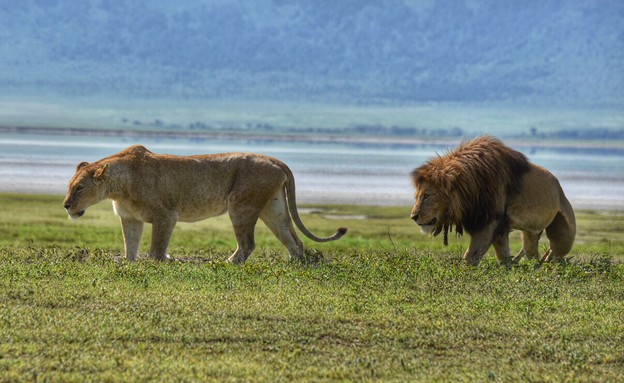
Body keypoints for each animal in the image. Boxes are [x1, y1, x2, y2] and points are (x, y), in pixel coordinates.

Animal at [64, 145, 346, 264]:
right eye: (69, 186)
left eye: (80, 188)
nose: (66, 205)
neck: (119, 187)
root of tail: (275, 159)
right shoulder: (130, 218)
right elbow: (130, 246)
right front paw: (128, 262)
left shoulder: (166, 215)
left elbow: (156, 248)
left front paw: (161, 261)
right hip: (273, 209)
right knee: (294, 240)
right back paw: (295, 264)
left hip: (241, 205)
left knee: (248, 244)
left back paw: (226, 263)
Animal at [410, 137, 576, 268]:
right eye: (417, 196)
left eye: (427, 196)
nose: (413, 217)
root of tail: (559, 188)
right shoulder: (499, 227)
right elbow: (503, 256)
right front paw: (510, 270)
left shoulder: (490, 222)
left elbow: (471, 256)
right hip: (530, 235)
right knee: (533, 254)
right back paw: (536, 268)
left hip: (565, 236)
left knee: (554, 254)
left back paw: (548, 269)